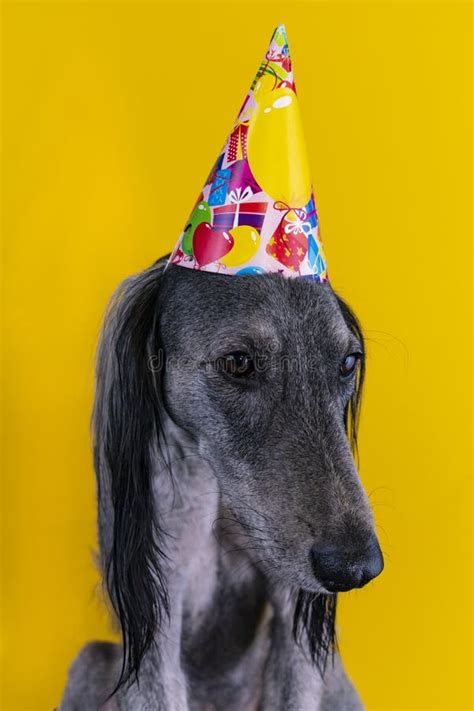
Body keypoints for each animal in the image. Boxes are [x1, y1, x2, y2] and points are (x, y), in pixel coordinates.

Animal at [59, 258, 384, 711]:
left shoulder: (293, 611)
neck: (219, 495)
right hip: (89, 661)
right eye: (238, 362)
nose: (355, 568)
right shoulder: (155, 610)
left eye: (349, 362)